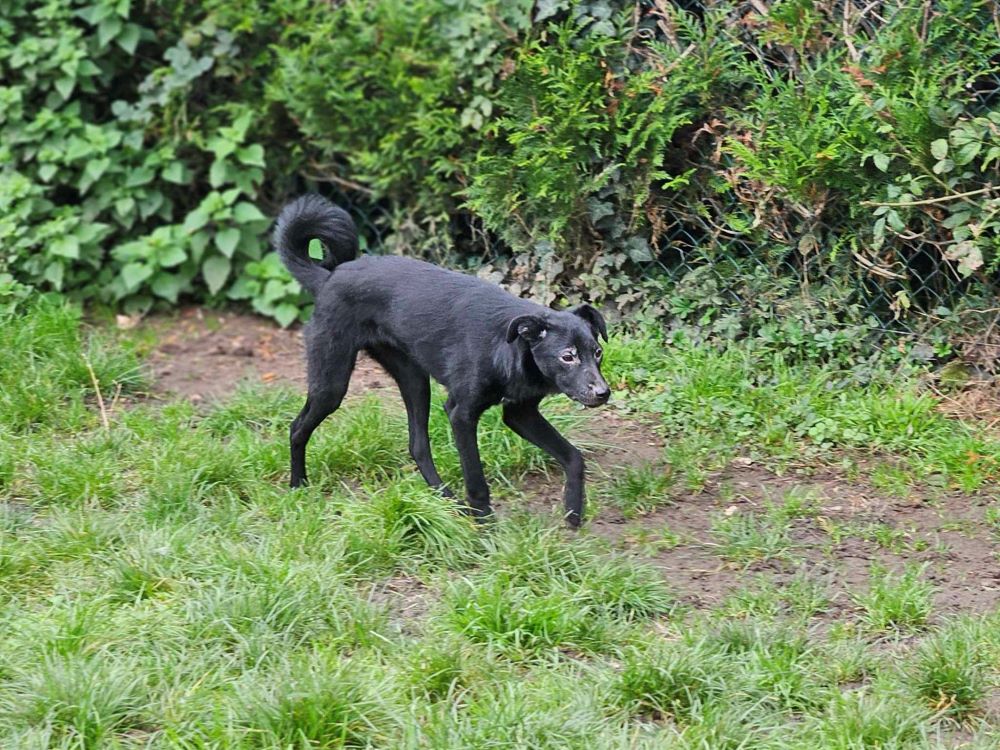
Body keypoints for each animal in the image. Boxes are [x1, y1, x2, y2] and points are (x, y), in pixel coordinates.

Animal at [274, 194, 608, 524]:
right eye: (567, 356)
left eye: (598, 352)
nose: (604, 393)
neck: (509, 347)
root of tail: (329, 277)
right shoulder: (461, 413)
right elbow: (475, 477)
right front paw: (484, 522)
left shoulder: (520, 413)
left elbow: (573, 456)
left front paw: (573, 509)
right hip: (331, 382)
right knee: (297, 428)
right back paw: (298, 486)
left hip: (414, 380)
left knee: (418, 446)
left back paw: (445, 500)